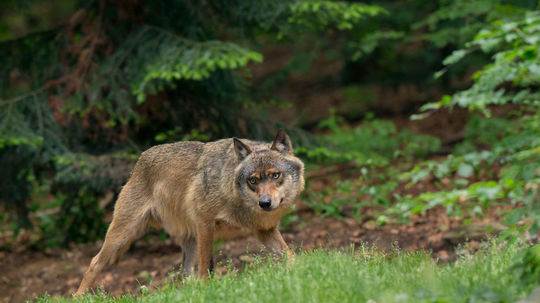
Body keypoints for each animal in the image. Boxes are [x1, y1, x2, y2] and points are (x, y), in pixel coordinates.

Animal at [75, 129, 304, 296]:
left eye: (275, 175)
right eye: (253, 180)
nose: (264, 203)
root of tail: (139, 160)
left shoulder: (264, 231)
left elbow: (291, 256)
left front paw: (301, 269)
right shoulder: (205, 224)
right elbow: (205, 268)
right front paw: (208, 291)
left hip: (188, 241)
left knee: (184, 276)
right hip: (122, 236)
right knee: (94, 262)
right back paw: (78, 296)